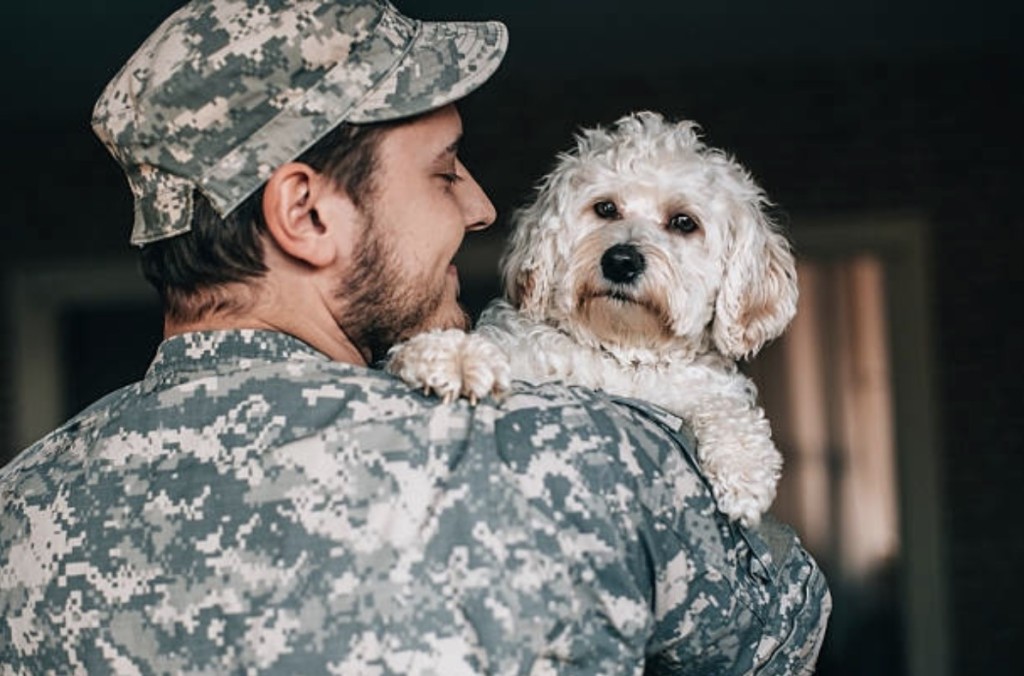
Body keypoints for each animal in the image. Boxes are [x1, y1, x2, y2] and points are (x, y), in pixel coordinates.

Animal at [387, 111, 794, 528]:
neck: (621, 351)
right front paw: (453, 357)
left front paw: (744, 470)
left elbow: (726, 407)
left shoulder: (698, 386)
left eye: (684, 222)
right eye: (606, 208)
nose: (621, 261)